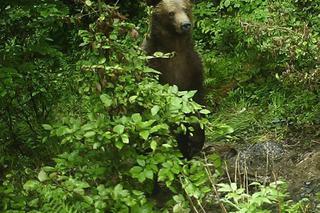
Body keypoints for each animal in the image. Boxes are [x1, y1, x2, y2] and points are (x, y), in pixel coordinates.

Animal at [143, 0, 205, 158]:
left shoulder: (192, 67)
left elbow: (196, 103)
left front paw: (195, 142)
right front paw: (183, 146)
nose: (185, 24)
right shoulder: (155, 66)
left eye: (185, 8)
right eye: (171, 13)